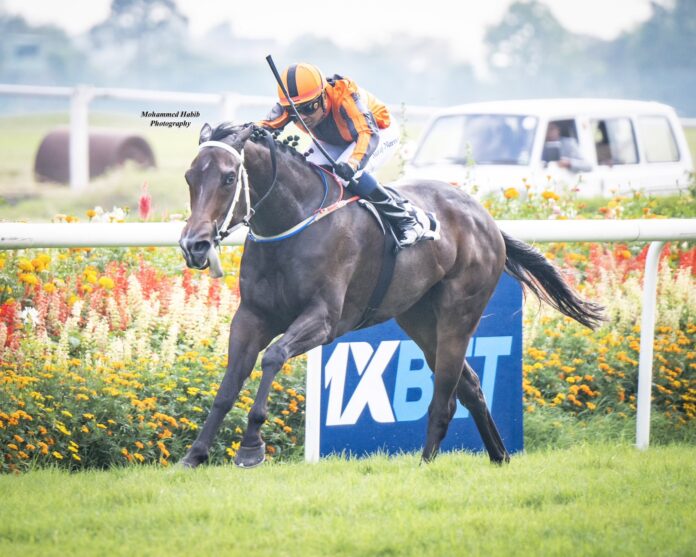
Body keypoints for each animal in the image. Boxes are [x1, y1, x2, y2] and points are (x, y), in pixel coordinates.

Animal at [178, 122, 604, 470]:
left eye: (229, 178)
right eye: (189, 177)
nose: (194, 245)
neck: (294, 221)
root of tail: (487, 220)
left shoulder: (324, 319)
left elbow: (273, 357)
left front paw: (251, 446)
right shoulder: (252, 316)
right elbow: (228, 386)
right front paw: (195, 455)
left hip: (459, 315)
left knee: (446, 395)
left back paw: (426, 463)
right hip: (418, 319)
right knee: (471, 386)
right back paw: (499, 456)